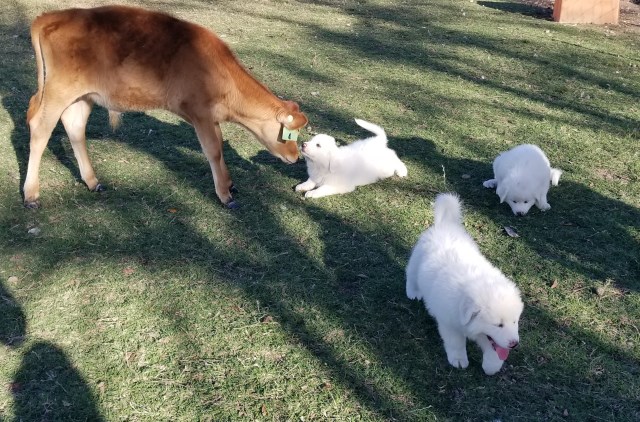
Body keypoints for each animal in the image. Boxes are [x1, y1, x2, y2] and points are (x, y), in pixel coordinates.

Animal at [22, 5, 308, 209]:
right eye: (287, 134)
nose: (296, 157)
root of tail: (51, 16)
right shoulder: (200, 113)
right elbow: (213, 150)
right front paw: (225, 195)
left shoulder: (211, 118)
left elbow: (219, 146)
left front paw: (229, 184)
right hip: (58, 91)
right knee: (40, 128)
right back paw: (31, 194)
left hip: (83, 96)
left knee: (74, 127)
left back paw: (93, 182)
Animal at [408, 194, 524, 376]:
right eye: (498, 325)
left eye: (514, 321)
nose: (514, 344)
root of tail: (445, 225)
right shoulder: (449, 324)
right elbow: (456, 343)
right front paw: (458, 360)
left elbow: (493, 350)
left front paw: (491, 366)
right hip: (415, 262)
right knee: (410, 276)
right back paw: (413, 292)